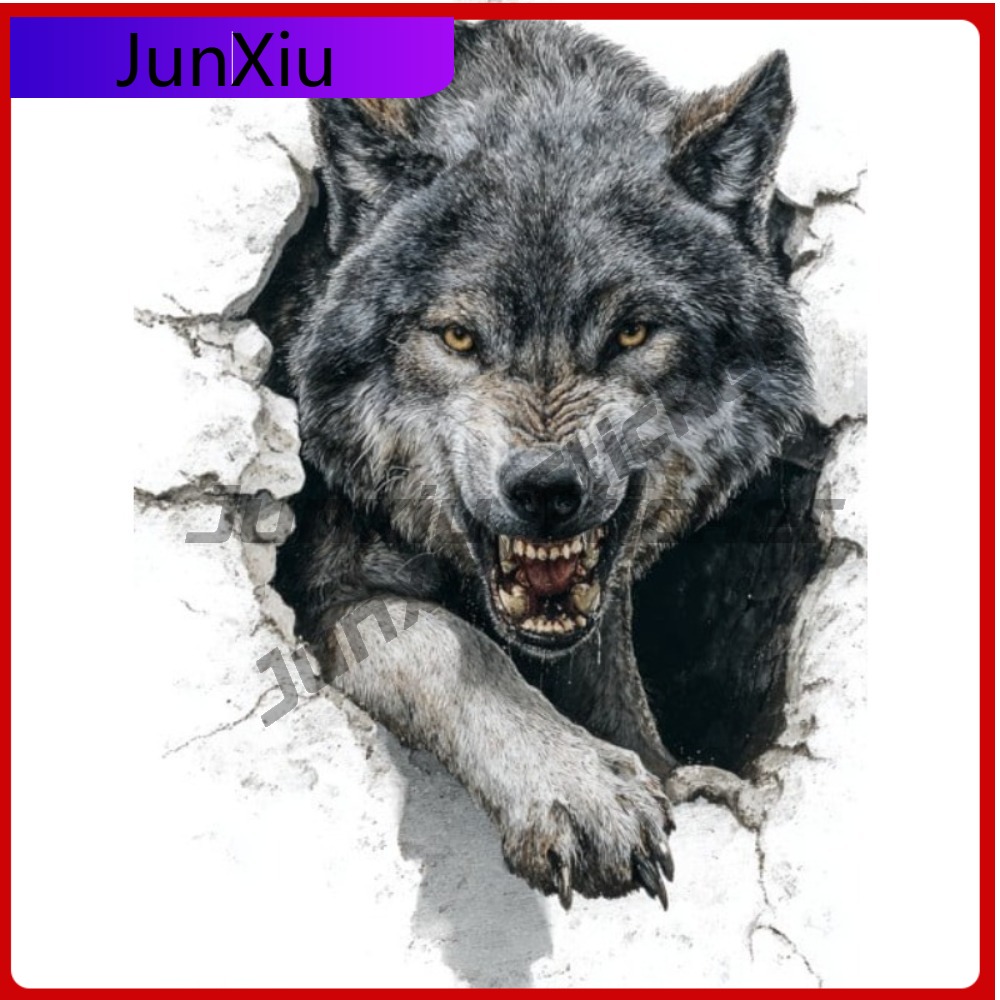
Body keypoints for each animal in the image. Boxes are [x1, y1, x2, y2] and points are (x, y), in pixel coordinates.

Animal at [254, 20, 810, 910]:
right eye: (457, 337)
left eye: (631, 333)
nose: (547, 488)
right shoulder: (326, 590)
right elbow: (450, 645)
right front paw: (574, 787)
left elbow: (615, 685)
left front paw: (662, 774)